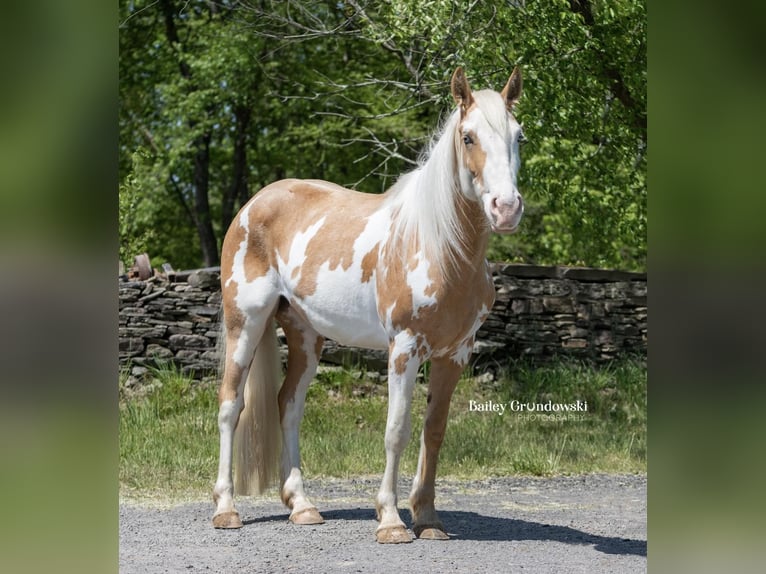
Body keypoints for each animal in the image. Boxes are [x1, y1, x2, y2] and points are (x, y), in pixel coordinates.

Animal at [213, 66, 524, 544]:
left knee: (289, 405)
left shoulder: (456, 353)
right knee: (231, 405)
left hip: (305, 335)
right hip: (244, 323)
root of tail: (255, 204)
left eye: (519, 135)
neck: (441, 249)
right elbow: (396, 431)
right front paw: (392, 521)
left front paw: (428, 518)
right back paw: (226, 509)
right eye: (468, 137)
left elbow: (434, 431)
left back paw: (302, 506)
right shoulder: (404, 349)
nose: (506, 208)